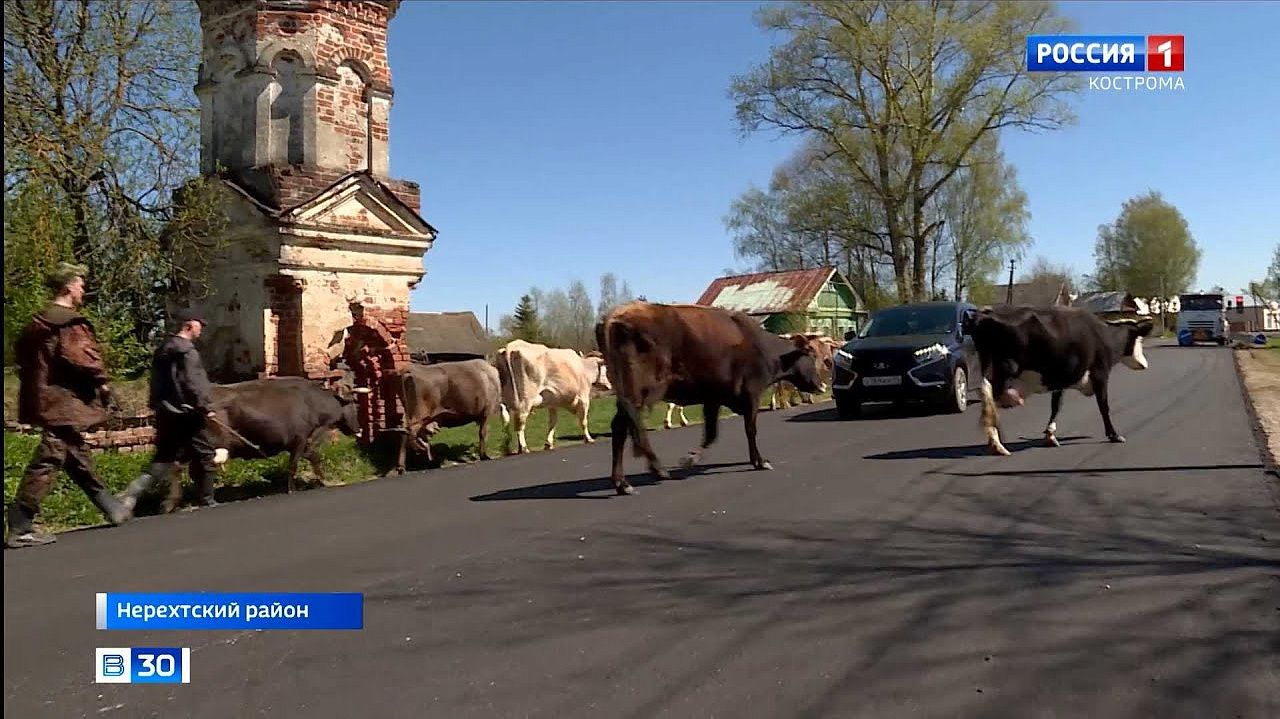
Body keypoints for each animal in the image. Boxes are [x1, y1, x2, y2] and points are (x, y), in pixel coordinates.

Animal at [593, 300, 824, 491]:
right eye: (811, 356)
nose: (822, 385)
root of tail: (617, 314)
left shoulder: (713, 398)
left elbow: (712, 433)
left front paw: (691, 458)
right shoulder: (751, 394)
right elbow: (750, 430)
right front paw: (759, 461)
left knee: (619, 427)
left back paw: (622, 482)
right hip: (640, 390)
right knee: (631, 427)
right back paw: (655, 469)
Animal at [962, 303, 1157, 452]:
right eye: (1139, 339)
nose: (1144, 364)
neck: (1104, 335)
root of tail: (985, 313)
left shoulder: (1061, 378)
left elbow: (1056, 406)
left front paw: (1050, 435)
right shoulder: (1100, 374)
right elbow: (1104, 406)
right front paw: (1114, 435)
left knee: (985, 393)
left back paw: (995, 440)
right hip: (1007, 367)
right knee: (990, 392)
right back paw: (998, 439)